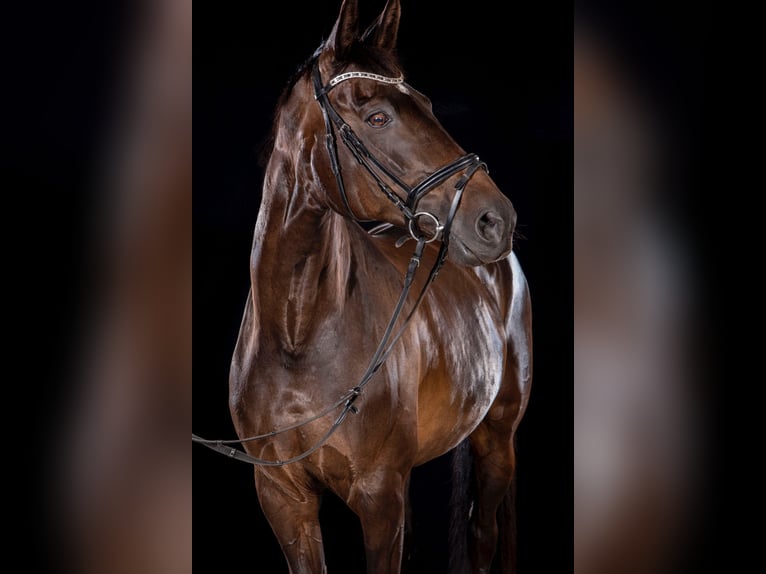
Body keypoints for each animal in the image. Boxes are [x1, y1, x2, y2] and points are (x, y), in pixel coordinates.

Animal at [198, 2, 536, 572]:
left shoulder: (380, 497)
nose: (495, 219)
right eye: (378, 116)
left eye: (426, 104)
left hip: (497, 439)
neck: (297, 333)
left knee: (486, 535)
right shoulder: (285, 499)